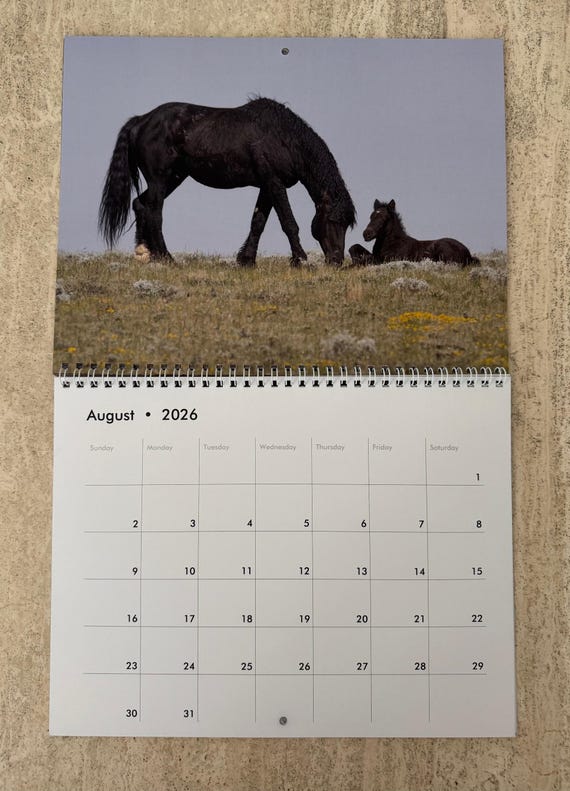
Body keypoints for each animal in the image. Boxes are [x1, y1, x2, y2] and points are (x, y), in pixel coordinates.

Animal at [98, 98, 356, 267]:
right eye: (333, 220)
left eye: (346, 224)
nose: (336, 260)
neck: (283, 138)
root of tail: (140, 121)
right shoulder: (275, 182)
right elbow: (288, 222)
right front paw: (299, 259)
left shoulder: (267, 186)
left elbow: (258, 222)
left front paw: (246, 260)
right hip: (160, 180)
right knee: (154, 213)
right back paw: (166, 257)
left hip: (172, 179)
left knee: (140, 205)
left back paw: (144, 252)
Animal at [349, 199, 479, 267]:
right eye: (371, 216)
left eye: (384, 218)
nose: (366, 234)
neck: (393, 243)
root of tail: (468, 254)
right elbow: (355, 248)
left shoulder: (388, 260)